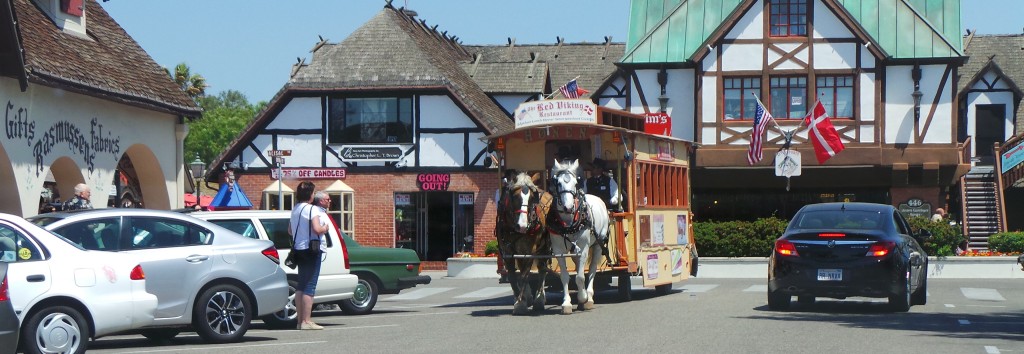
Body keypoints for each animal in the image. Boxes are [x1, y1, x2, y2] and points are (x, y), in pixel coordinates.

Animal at [495, 172, 552, 313]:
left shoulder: (530, 250)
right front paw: (520, 300)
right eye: (514, 197)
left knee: (542, 269)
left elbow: (525, 275)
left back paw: (539, 299)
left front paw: (520, 303)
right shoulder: (507, 252)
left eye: (532, 198)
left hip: (544, 247)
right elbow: (512, 276)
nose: (522, 226)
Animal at [552, 158, 606, 313]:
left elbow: (581, 277)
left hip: (598, 245)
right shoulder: (558, 251)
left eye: (576, 183)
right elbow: (565, 276)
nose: (568, 207)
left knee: (592, 269)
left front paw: (583, 298)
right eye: (558, 182)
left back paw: (589, 296)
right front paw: (566, 303)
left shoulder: (583, 249)